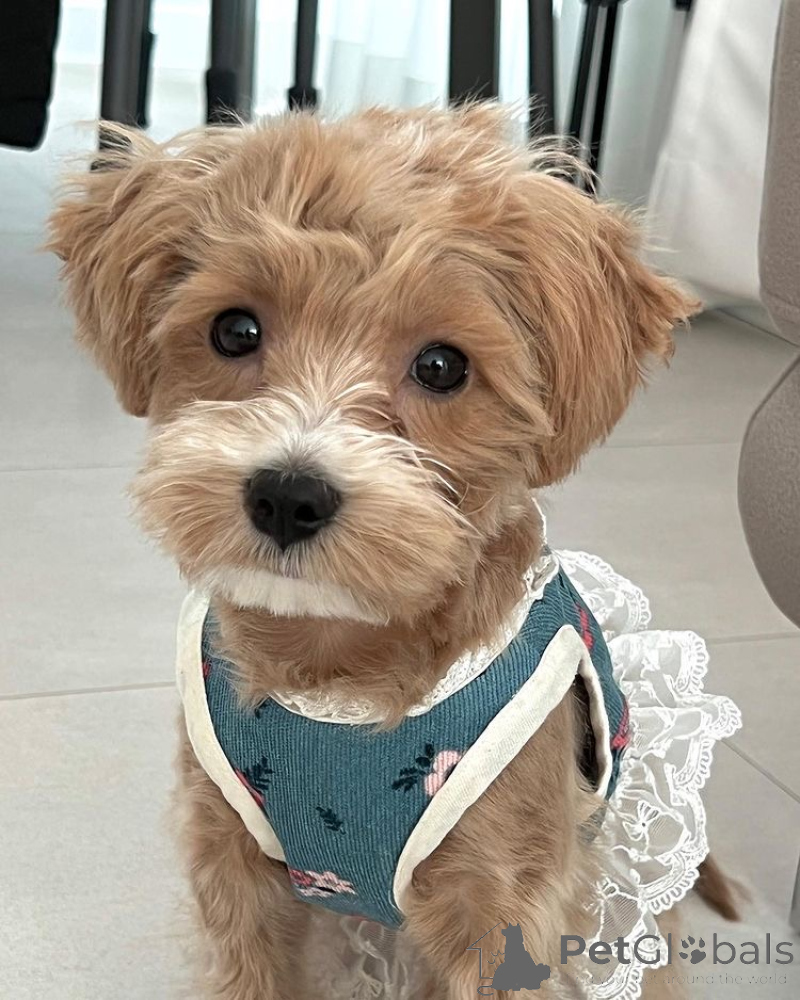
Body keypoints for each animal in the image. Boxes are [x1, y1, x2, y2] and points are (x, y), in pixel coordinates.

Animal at [49, 105, 737, 999]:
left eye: (442, 365)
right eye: (235, 329)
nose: (288, 495)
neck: (337, 677)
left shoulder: (501, 910)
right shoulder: (233, 870)